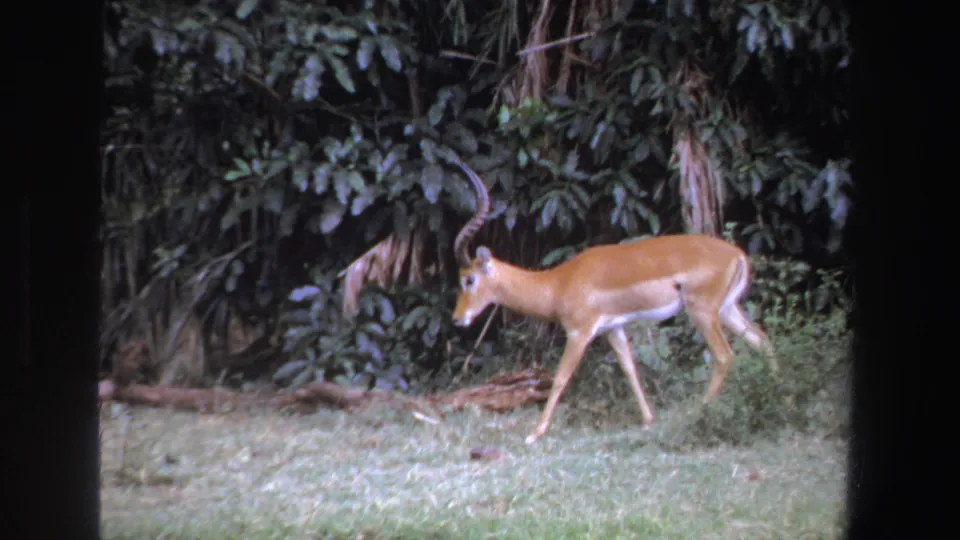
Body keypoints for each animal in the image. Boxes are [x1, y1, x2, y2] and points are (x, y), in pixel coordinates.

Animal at [451, 160, 780, 445]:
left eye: (469, 279)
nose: (457, 318)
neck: (558, 284)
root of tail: (737, 255)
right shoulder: (613, 329)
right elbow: (629, 368)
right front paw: (648, 421)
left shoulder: (579, 333)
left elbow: (560, 377)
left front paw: (535, 433)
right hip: (727, 310)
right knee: (762, 341)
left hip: (702, 311)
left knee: (724, 356)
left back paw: (700, 414)